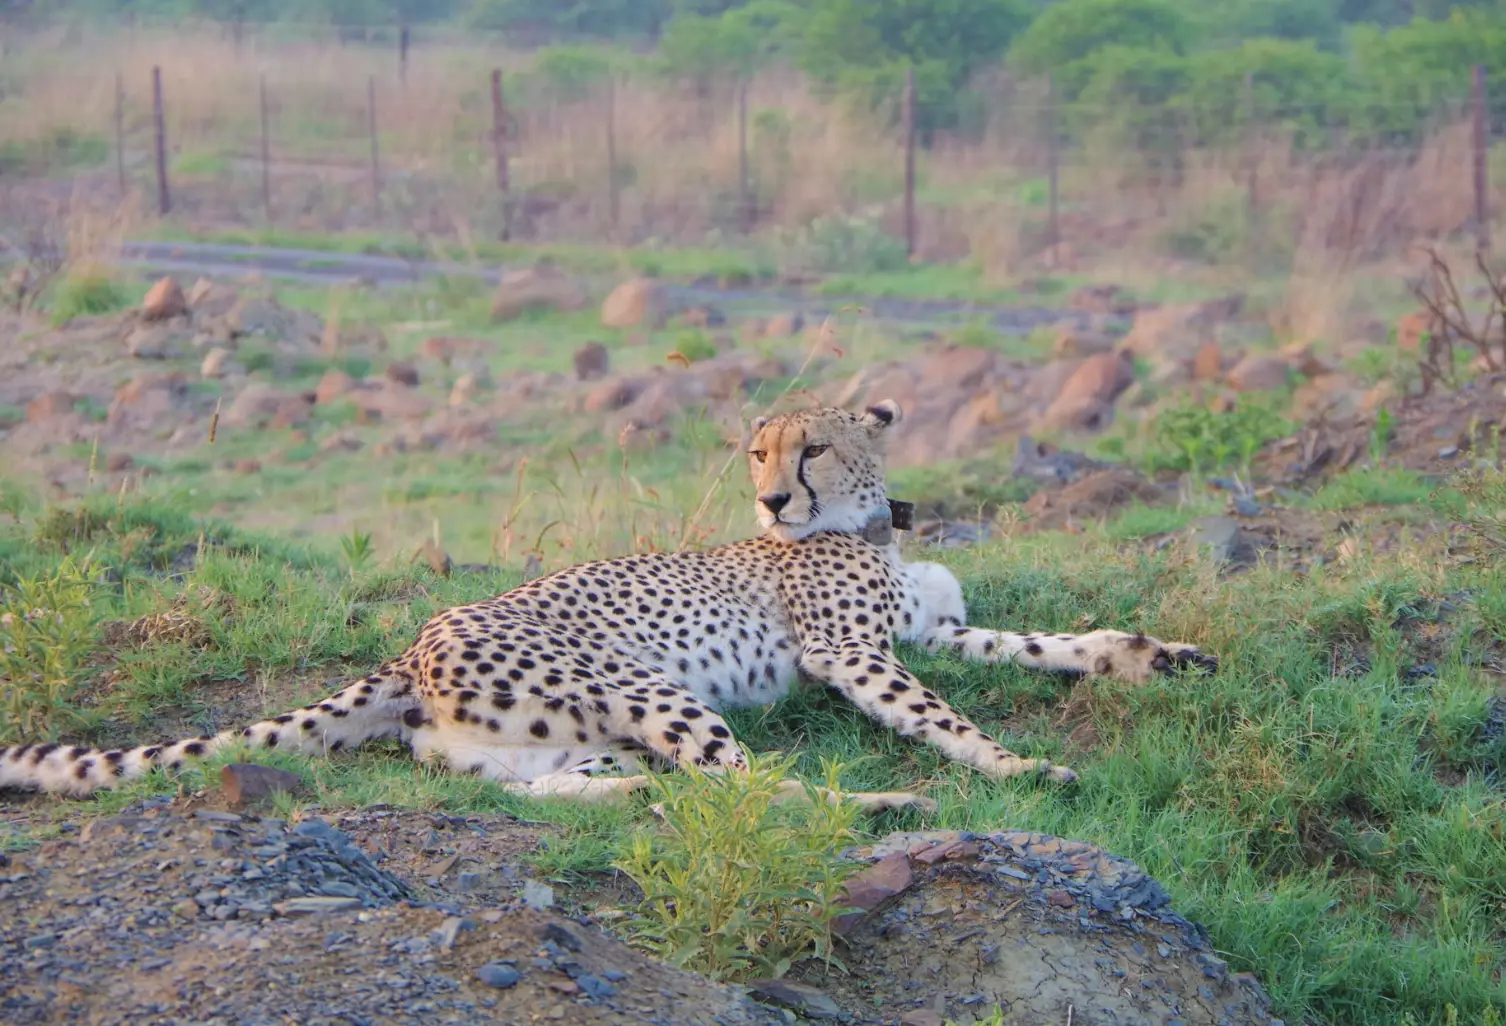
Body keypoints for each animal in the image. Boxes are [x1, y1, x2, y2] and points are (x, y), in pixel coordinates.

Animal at [0, 400, 1210, 807]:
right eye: (757, 452)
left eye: (811, 448)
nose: (772, 497)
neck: (867, 525)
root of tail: (417, 641)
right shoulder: (853, 657)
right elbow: (947, 719)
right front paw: (1019, 769)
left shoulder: (935, 633)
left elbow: (1047, 644)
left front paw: (1161, 657)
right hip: (642, 683)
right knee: (748, 789)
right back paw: (877, 806)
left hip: (539, 737)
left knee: (554, 789)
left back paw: (630, 793)